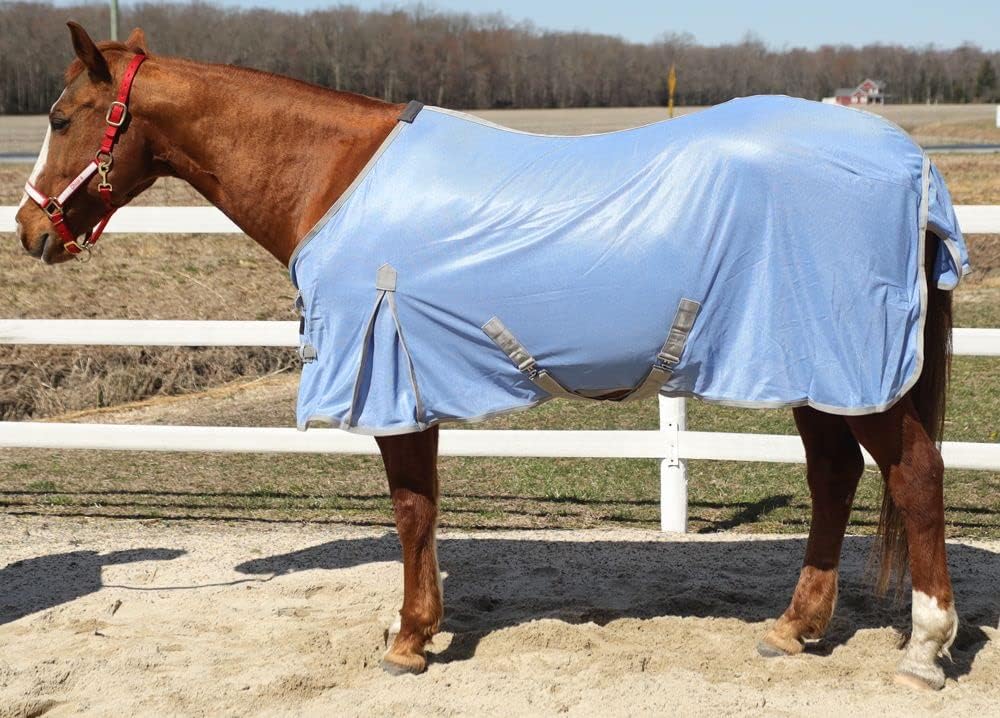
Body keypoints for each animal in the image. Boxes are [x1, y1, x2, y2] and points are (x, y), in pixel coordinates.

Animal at [14, 22, 960, 690]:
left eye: (61, 118)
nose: (28, 230)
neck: (335, 173)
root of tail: (909, 163)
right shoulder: (413, 382)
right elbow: (426, 509)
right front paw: (424, 626)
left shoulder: (389, 380)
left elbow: (408, 511)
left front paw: (406, 640)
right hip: (815, 368)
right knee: (836, 475)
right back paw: (795, 628)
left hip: (853, 368)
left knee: (913, 474)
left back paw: (925, 648)